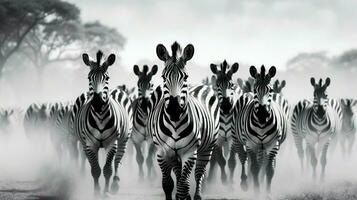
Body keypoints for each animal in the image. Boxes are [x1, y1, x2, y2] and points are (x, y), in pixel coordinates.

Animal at [69, 51, 132, 195]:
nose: (97, 103)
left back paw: (115, 184)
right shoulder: (90, 144)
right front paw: (97, 192)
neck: (100, 117)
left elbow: (107, 170)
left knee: (117, 160)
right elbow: (95, 169)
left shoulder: (111, 144)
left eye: (106, 78)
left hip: (123, 139)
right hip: (84, 143)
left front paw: (106, 192)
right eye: (89, 78)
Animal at [145, 41, 218, 199]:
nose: (174, 110)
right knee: (180, 176)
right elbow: (168, 184)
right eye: (163, 77)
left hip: (206, 149)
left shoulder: (189, 153)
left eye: (185, 77)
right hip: (175, 155)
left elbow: (183, 186)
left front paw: (185, 195)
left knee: (198, 174)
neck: (174, 124)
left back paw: (197, 196)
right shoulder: (162, 153)